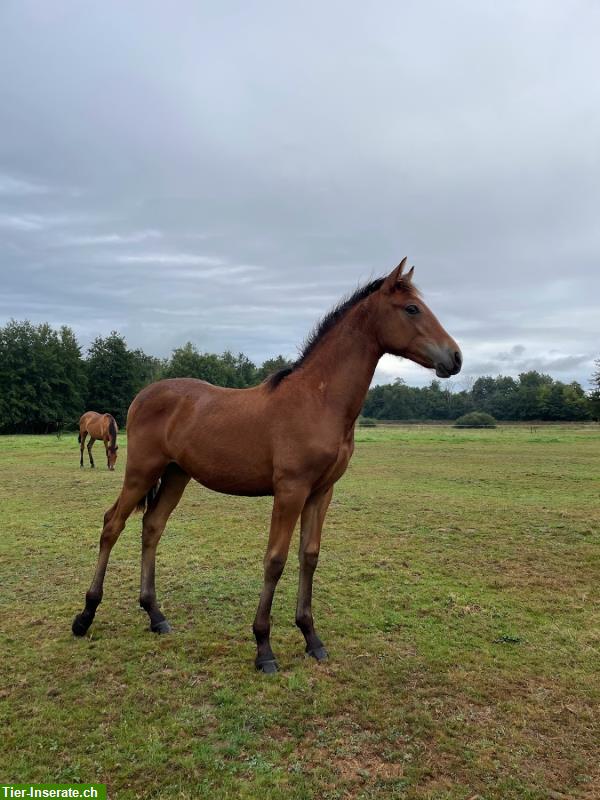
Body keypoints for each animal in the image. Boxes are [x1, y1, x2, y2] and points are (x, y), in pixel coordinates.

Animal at [71, 260, 464, 672]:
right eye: (412, 309)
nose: (455, 358)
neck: (317, 400)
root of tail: (144, 394)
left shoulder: (321, 492)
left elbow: (309, 556)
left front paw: (311, 637)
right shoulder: (290, 491)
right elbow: (275, 560)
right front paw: (263, 647)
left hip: (177, 474)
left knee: (152, 527)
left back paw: (155, 615)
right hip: (141, 471)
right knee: (112, 524)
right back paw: (85, 615)